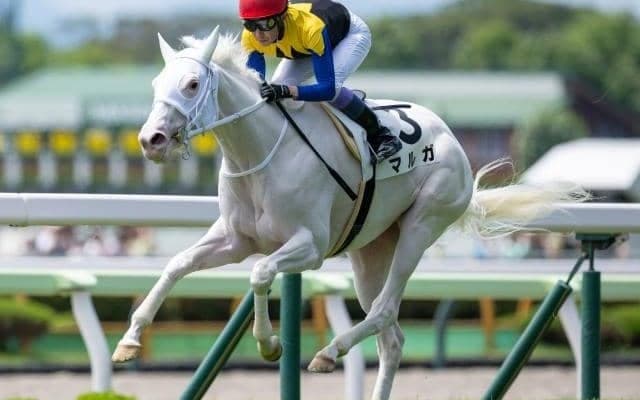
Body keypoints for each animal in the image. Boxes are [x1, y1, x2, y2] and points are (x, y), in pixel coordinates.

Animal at [112, 27, 584, 400]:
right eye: (157, 83)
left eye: (192, 84)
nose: (151, 139)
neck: (260, 152)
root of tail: (451, 138)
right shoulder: (235, 240)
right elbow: (177, 264)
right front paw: (130, 340)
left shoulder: (310, 246)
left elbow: (261, 273)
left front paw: (268, 343)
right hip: (371, 251)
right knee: (392, 339)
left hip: (422, 224)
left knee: (384, 311)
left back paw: (329, 351)